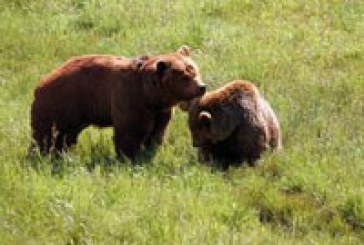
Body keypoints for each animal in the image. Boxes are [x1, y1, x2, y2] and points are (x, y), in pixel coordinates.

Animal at [29, 46, 206, 160]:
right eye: (184, 77)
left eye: (195, 71)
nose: (202, 87)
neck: (150, 95)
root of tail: (40, 84)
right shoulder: (130, 99)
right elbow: (130, 132)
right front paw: (130, 157)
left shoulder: (160, 111)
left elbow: (158, 131)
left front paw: (152, 150)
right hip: (60, 104)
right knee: (46, 134)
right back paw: (41, 154)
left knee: (65, 136)